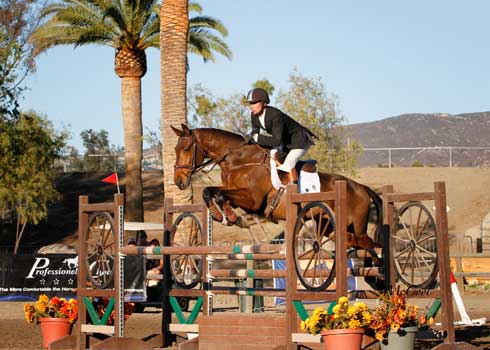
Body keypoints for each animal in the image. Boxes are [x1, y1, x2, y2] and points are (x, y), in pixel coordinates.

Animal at [172, 124, 382, 253]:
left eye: (186, 148)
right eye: (175, 149)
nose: (178, 181)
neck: (239, 160)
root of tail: (361, 187)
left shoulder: (252, 200)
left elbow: (222, 196)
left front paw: (229, 217)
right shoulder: (236, 194)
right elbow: (210, 192)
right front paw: (229, 218)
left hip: (356, 225)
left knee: (368, 243)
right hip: (329, 225)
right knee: (353, 241)